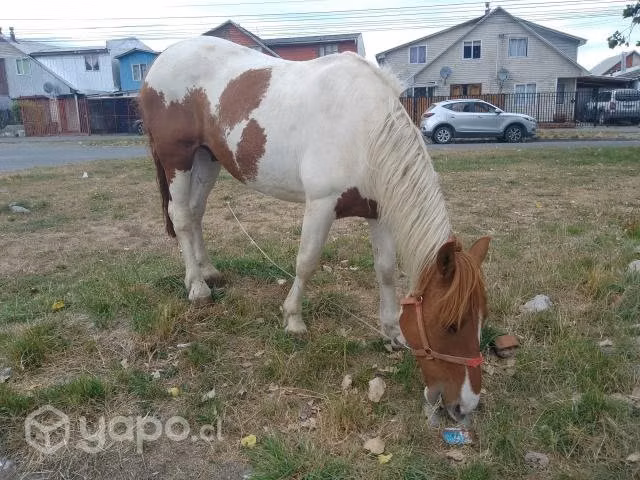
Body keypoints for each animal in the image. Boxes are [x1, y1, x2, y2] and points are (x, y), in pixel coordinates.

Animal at [139, 36, 491, 421]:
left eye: (480, 321)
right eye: (450, 325)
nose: (466, 406)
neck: (364, 129)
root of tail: (161, 62)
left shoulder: (378, 212)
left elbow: (385, 270)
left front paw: (391, 331)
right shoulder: (321, 205)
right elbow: (306, 262)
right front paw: (293, 319)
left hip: (208, 157)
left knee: (196, 213)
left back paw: (208, 272)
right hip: (178, 158)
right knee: (182, 217)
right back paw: (197, 288)